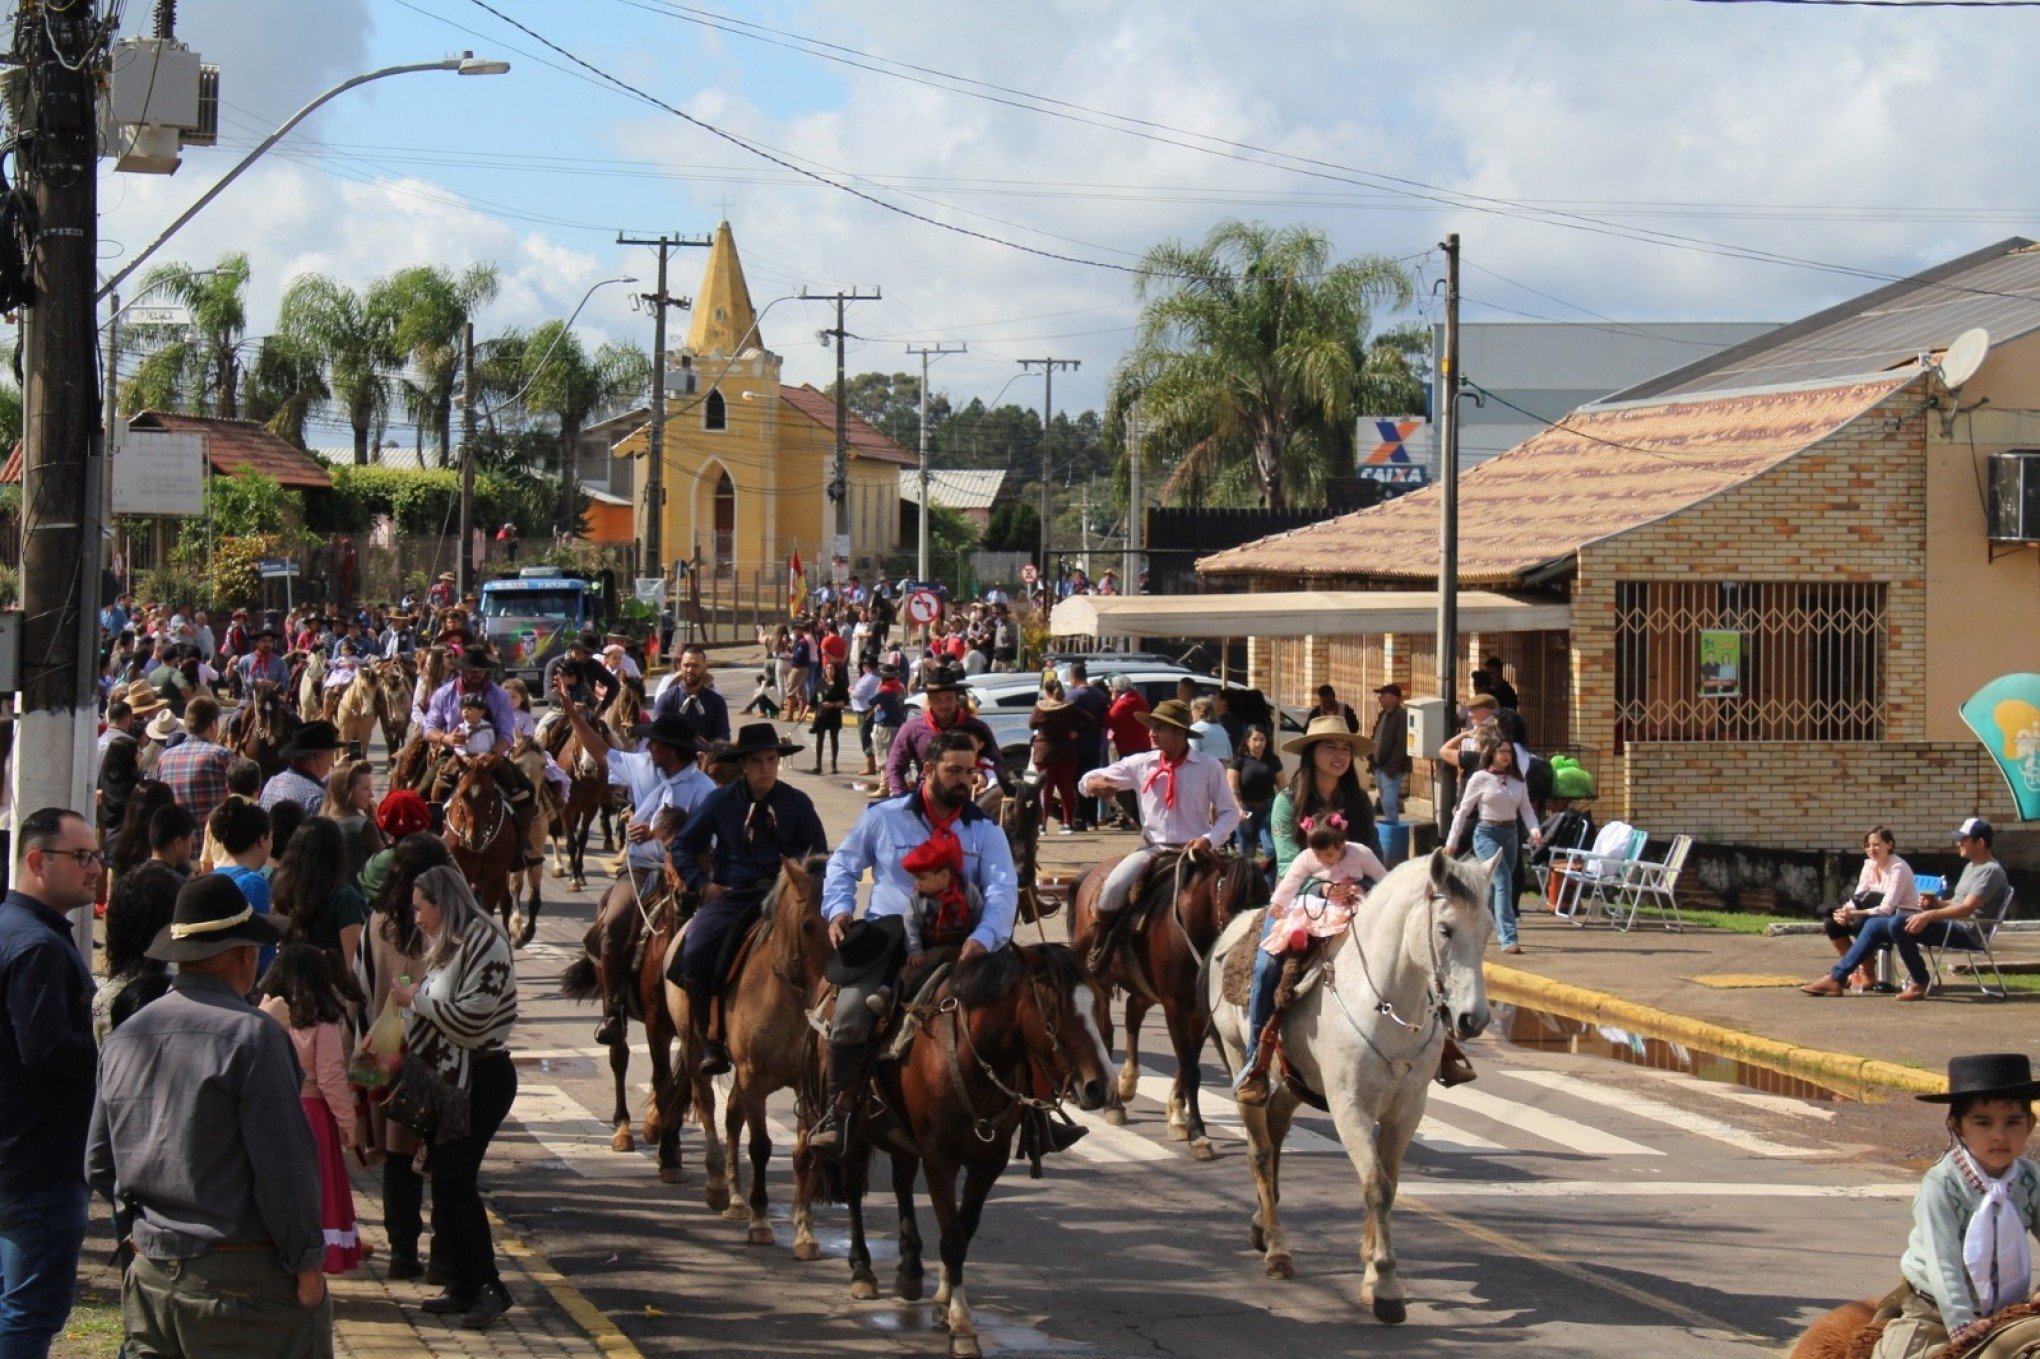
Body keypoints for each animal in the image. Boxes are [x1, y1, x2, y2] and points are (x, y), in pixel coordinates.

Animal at [442, 750, 534, 942]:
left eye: (489, 794)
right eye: (462, 794)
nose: (473, 839)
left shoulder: (495, 878)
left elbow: (488, 911)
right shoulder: (462, 872)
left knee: (504, 903)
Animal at [803, 942, 1109, 1354]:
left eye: (1098, 1004)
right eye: (1053, 1012)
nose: (1099, 1087)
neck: (971, 1057)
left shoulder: (989, 1162)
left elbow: (963, 1229)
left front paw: (943, 1302)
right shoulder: (939, 1159)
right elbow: (951, 1238)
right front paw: (961, 1326)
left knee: (902, 1183)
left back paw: (910, 1269)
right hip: (856, 1129)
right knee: (852, 1188)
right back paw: (863, 1270)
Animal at [1068, 848, 1256, 1150]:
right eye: (1233, 905)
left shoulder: (1197, 1011)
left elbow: (1188, 1064)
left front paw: (1178, 1116)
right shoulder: (1175, 1007)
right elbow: (1189, 1068)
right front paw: (1198, 1133)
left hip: (1144, 989)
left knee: (1132, 1013)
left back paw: (1128, 1083)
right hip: (1102, 980)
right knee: (1106, 1032)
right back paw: (1114, 1103)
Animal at [1191, 840, 1501, 1314]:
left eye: (1487, 930)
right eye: (1446, 929)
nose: (1473, 1019)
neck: (1385, 1006)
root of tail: (1235, 927)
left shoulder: (1406, 1110)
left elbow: (1389, 1183)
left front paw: (1373, 1270)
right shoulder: (1349, 1107)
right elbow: (1375, 1186)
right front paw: (1386, 1285)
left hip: (1295, 1080)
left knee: (1276, 1130)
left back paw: (1263, 1224)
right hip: (1240, 1062)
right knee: (1259, 1151)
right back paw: (1278, 1249)